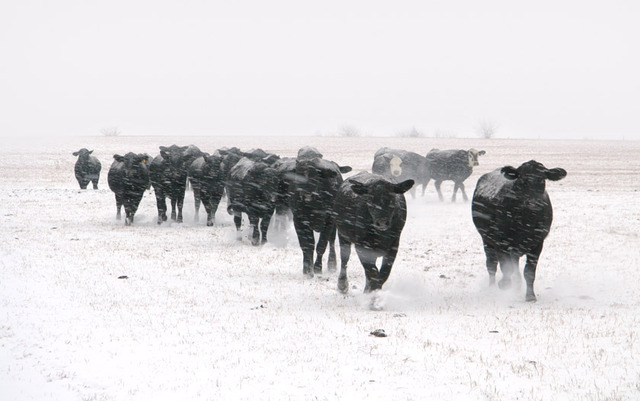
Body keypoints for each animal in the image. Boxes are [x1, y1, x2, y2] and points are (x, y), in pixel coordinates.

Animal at [471, 160, 567, 302]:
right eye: (522, 179)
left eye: (542, 179)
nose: (533, 204)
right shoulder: (503, 243)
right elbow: (507, 269)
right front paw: (505, 285)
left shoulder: (537, 244)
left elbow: (529, 272)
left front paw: (530, 296)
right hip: (487, 240)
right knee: (492, 265)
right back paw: (492, 288)